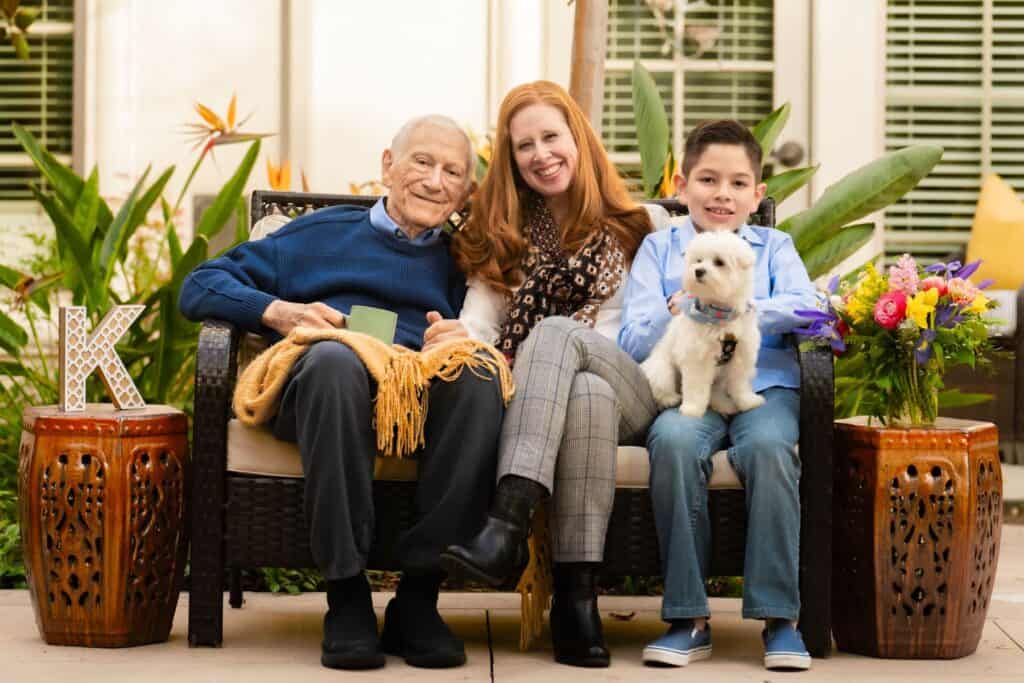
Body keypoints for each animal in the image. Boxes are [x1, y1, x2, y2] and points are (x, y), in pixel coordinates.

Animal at [643, 231, 765, 417]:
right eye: (698, 261)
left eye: (719, 262)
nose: (698, 271)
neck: (720, 314)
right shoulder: (697, 359)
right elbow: (696, 388)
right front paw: (692, 409)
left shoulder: (741, 356)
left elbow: (740, 384)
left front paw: (748, 401)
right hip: (662, 370)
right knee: (662, 386)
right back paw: (671, 398)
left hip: (719, 378)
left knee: (715, 392)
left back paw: (725, 405)